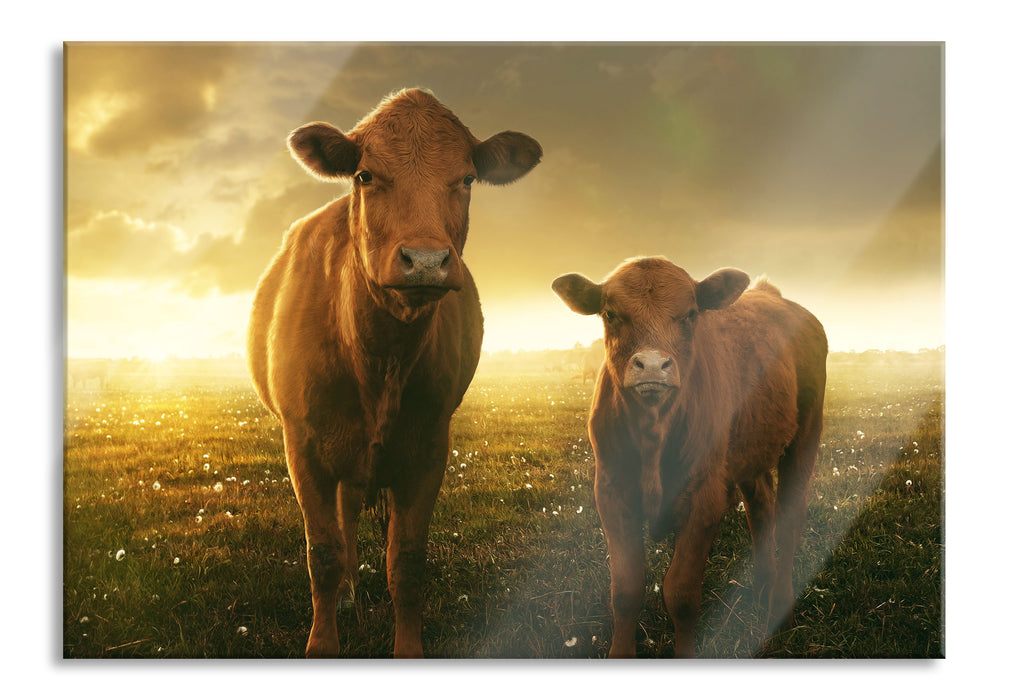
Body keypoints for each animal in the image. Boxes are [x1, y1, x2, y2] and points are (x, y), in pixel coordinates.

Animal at [247, 88, 541, 658]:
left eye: (467, 178)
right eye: (365, 175)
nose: (425, 260)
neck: (378, 359)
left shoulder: (428, 446)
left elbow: (405, 561)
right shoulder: (302, 445)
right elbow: (323, 554)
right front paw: (323, 642)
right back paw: (344, 597)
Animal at [552, 256, 827, 658]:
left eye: (691, 314)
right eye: (611, 313)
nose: (652, 365)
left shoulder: (704, 498)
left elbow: (681, 594)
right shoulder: (612, 491)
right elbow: (625, 589)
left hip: (806, 431)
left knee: (791, 517)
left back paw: (780, 605)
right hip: (750, 449)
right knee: (761, 506)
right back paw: (762, 586)